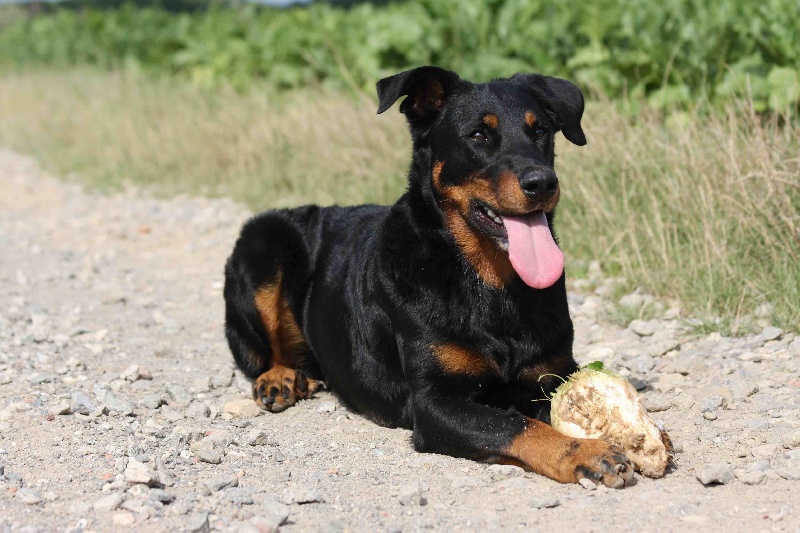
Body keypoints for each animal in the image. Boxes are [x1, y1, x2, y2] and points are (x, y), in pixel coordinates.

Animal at [223, 65, 632, 486]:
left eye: (542, 131)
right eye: (479, 135)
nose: (543, 182)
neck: (488, 280)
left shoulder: (554, 372)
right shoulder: (436, 404)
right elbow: (514, 424)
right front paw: (587, 452)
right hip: (264, 240)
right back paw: (279, 378)